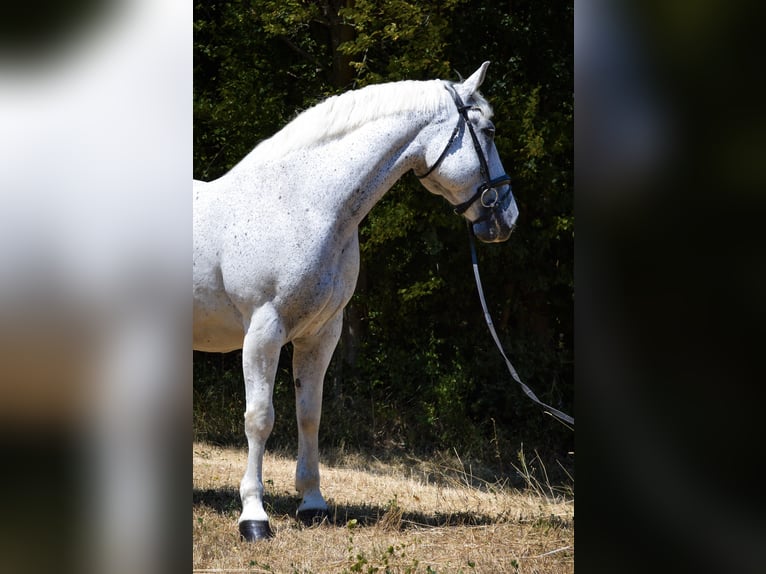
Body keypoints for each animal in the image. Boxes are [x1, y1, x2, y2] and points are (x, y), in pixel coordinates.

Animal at [193, 61, 519, 541]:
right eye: (490, 130)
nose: (507, 217)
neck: (302, 206)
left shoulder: (320, 334)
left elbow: (309, 414)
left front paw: (312, 503)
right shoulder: (263, 332)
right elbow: (260, 418)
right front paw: (254, 517)